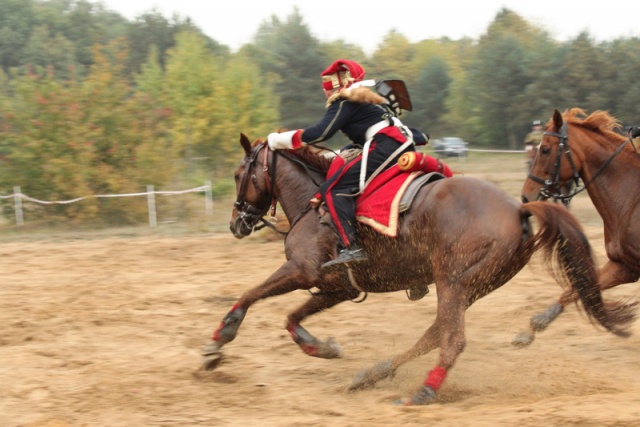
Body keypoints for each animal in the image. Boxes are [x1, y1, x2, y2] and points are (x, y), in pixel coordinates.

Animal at [201, 132, 636, 406]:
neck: (313, 199)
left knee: (451, 338)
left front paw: (219, 340)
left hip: (453, 281)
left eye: (239, 174)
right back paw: (373, 375)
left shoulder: (301, 271)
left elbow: (251, 295)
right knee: (435, 333)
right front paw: (320, 347)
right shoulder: (335, 288)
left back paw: (423, 392)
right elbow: (292, 317)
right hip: (469, 287)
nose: (236, 224)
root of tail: (519, 208)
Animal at [516, 108, 640, 346]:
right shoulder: (624, 267)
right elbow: (578, 291)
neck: (630, 200)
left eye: (545, 149)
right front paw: (531, 328)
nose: (526, 195)